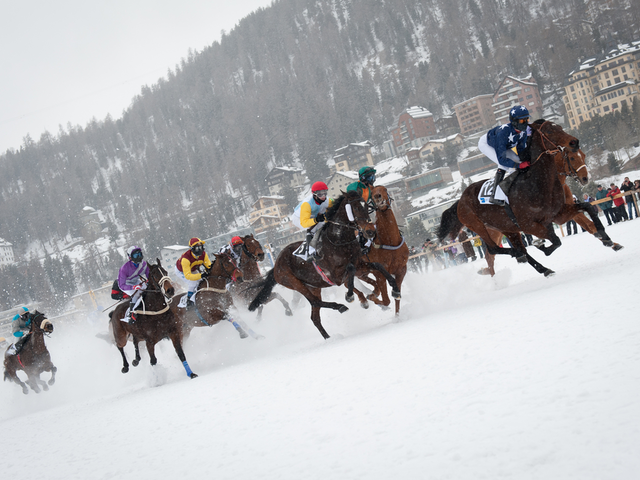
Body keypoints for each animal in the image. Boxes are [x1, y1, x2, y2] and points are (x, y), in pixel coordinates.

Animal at [249, 190, 398, 339]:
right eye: (355, 208)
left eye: (366, 206)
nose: (370, 231)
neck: (338, 241)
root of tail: (276, 265)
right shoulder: (336, 276)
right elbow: (351, 271)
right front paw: (351, 296)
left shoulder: (359, 264)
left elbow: (378, 266)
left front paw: (395, 289)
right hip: (294, 283)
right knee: (314, 301)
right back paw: (340, 307)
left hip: (314, 286)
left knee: (315, 316)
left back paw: (329, 337)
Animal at [351, 185, 409, 315]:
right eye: (372, 193)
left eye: (385, 189)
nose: (378, 196)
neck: (390, 241)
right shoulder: (379, 273)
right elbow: (386, 300)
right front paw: (373, 298)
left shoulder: (401, 269)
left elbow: (396, 297)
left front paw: (398, 316)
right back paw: (365, 299)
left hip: (362, 270)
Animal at [438, 120, 602, 276]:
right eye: (549, 130)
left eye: (560, 127)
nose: (574, 142)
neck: (537, 182)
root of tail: (460, 201)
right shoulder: (528, 224)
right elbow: (555, 238)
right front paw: (541, 245)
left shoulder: (558, 215)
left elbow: (586, 209)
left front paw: (602, 233)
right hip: (477, 225)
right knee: (493, 249)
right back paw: (515, 259)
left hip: (506, 228)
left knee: (510, 251)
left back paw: (542, 268)